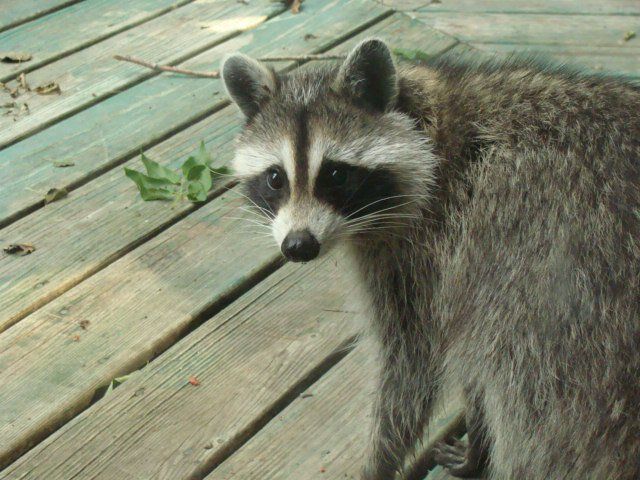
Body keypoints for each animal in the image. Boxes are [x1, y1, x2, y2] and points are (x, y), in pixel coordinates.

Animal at [220, 38, 640, 480]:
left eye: (336, 175)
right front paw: (477, 447)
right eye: (275, 178)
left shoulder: (427, 252)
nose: (299, 245)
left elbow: (412, 368)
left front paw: (380, 461)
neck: (429, 133)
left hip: (571, 326)